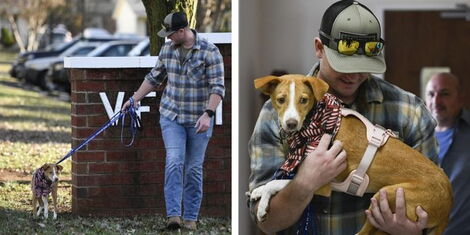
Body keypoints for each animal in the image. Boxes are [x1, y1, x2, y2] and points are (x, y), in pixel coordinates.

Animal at [252, 74, 454, 234]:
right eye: (281, 100)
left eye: (304, 100)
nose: (291, 124)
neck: (317, 121)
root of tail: (447, 206)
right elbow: (273, 182)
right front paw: (258, 193)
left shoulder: (320, 184)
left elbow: (277, 183)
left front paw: (262, 205)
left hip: (386, 196)